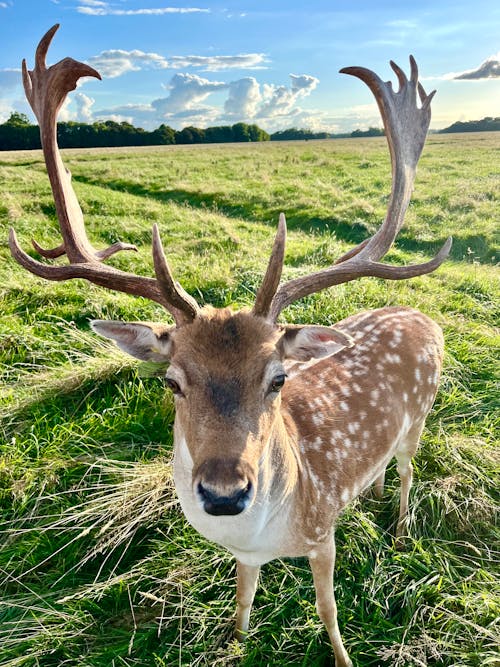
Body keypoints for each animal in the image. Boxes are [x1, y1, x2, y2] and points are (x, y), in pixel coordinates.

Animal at [9, 24, 452, 667]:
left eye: (278, 379)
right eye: (172, 380)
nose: (223, 494)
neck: (271, 531)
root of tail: (423, 315)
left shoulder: (323, 533)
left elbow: (328, 611)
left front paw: (343, 657)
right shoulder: (244, 556)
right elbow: (242, 599)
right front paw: (234, 641)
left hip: (421, 414)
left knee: (409, 469)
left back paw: (396, 527)